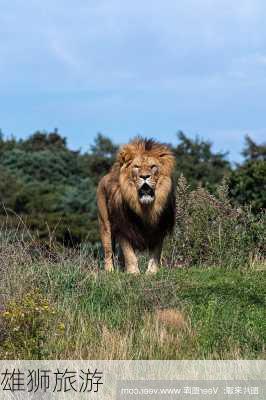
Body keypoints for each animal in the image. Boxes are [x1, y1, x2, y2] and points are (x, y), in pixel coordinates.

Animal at [96, 136, 176, 274]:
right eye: (137, 167)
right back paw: (110, 272)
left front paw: (152, 272)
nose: (144, 176)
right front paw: (133, 273)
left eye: (153, 166)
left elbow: (155, 253)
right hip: (105, 224)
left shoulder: (159, 228)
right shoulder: (123, 227)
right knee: (108, 252)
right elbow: (129, 253)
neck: (145, 208)